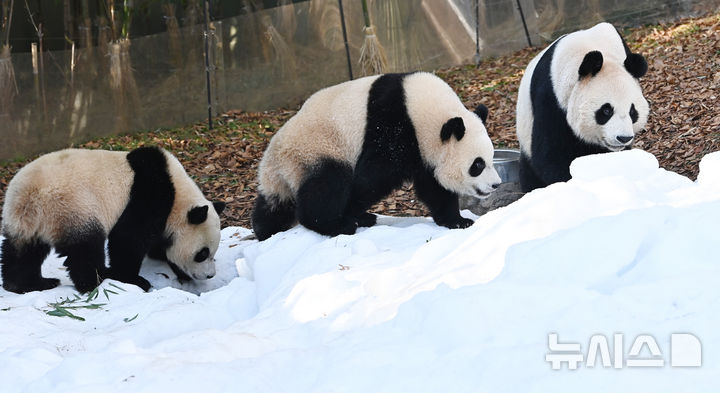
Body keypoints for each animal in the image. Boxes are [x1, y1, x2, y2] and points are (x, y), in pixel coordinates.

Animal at [0, 145, 225, 292]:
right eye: (202, 254)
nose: (210, 275)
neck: (178, 194)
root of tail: (30, 194)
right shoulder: (150, 195)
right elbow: (129, 238)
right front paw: (131, 278)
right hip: (73, 206)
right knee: (86, 249)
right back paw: (98, 281)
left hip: (26, 221)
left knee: (23, 250)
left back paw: (27, 284)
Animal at [253, 72, 500, 240]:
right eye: (477, 165)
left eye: (491, 158)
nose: (496, 185)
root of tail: (274, 158)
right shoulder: (392, 126)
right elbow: (373, 178)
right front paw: (350, 213)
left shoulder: (422, 151)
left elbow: (433, 187)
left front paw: (458, 221)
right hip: (317, 148)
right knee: (328, 185)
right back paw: (336, 224)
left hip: (292, 166)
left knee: (276, 202)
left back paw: (265, 229)